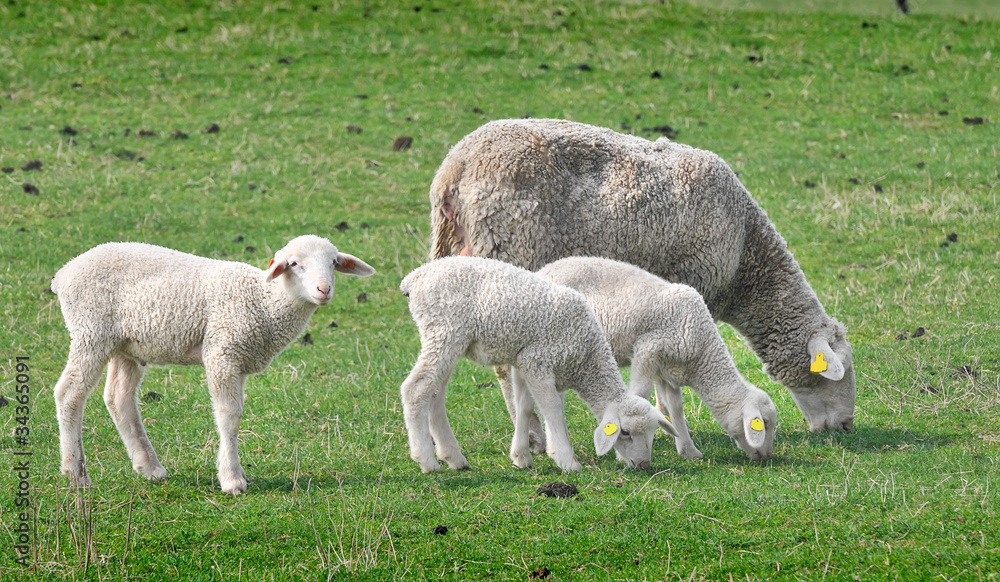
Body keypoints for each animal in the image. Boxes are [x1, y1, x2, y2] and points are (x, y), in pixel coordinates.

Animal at [51, 235, 375, 495]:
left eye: (333, 263)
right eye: (294, 264)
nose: (324, 289)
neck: (265, 302)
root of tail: (63, 273)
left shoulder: (239, 359)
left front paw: (235, 472)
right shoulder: (223, 352)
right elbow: (229, 417)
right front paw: (232, 479)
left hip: (126, 345)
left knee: (119, 398)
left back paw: (150, 467)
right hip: (91, 332)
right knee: (69, 394)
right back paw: (76, 473)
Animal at [398, 255, 678, 473]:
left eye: (652, 432)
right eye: (626, 432)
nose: (644, 465)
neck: (587, 354)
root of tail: (413, 278)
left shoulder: (524, 361)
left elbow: (524, 406)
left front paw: (521, 456)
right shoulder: (538, 360)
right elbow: (552, 408)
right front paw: (567, 460)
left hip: (450, 341)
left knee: (436, 394)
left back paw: (454, 457)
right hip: (444, 331)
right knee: (416, 388)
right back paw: (427, 461)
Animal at [537, 256, 777, 461]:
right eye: (763, 423)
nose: (767, 456)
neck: (702, 352)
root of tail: (544, 270)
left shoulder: (667, 368)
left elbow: (675, 407)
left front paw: (688, 449)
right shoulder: (648, 348)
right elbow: (640, 394)